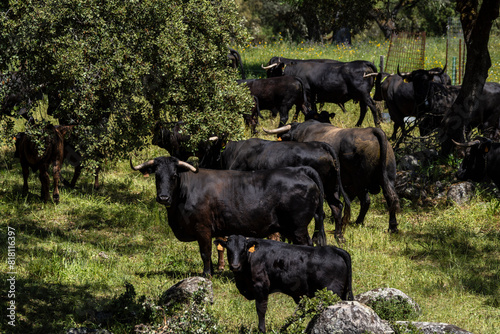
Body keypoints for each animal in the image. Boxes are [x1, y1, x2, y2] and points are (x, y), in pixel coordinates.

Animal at [130, 157, 324, 276]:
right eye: (157, 175)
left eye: (174, 175)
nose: (163, 197)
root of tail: (299, 171)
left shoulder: (203, 229)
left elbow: (205, 253)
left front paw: (207, 275)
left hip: (298, 228)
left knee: (307, 246)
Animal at [266, 118, 402, 239]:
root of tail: (372, 130)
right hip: (386, 180)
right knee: (391, 199)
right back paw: (392, 227)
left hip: (359, 182)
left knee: (366, 201)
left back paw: (358, 222)